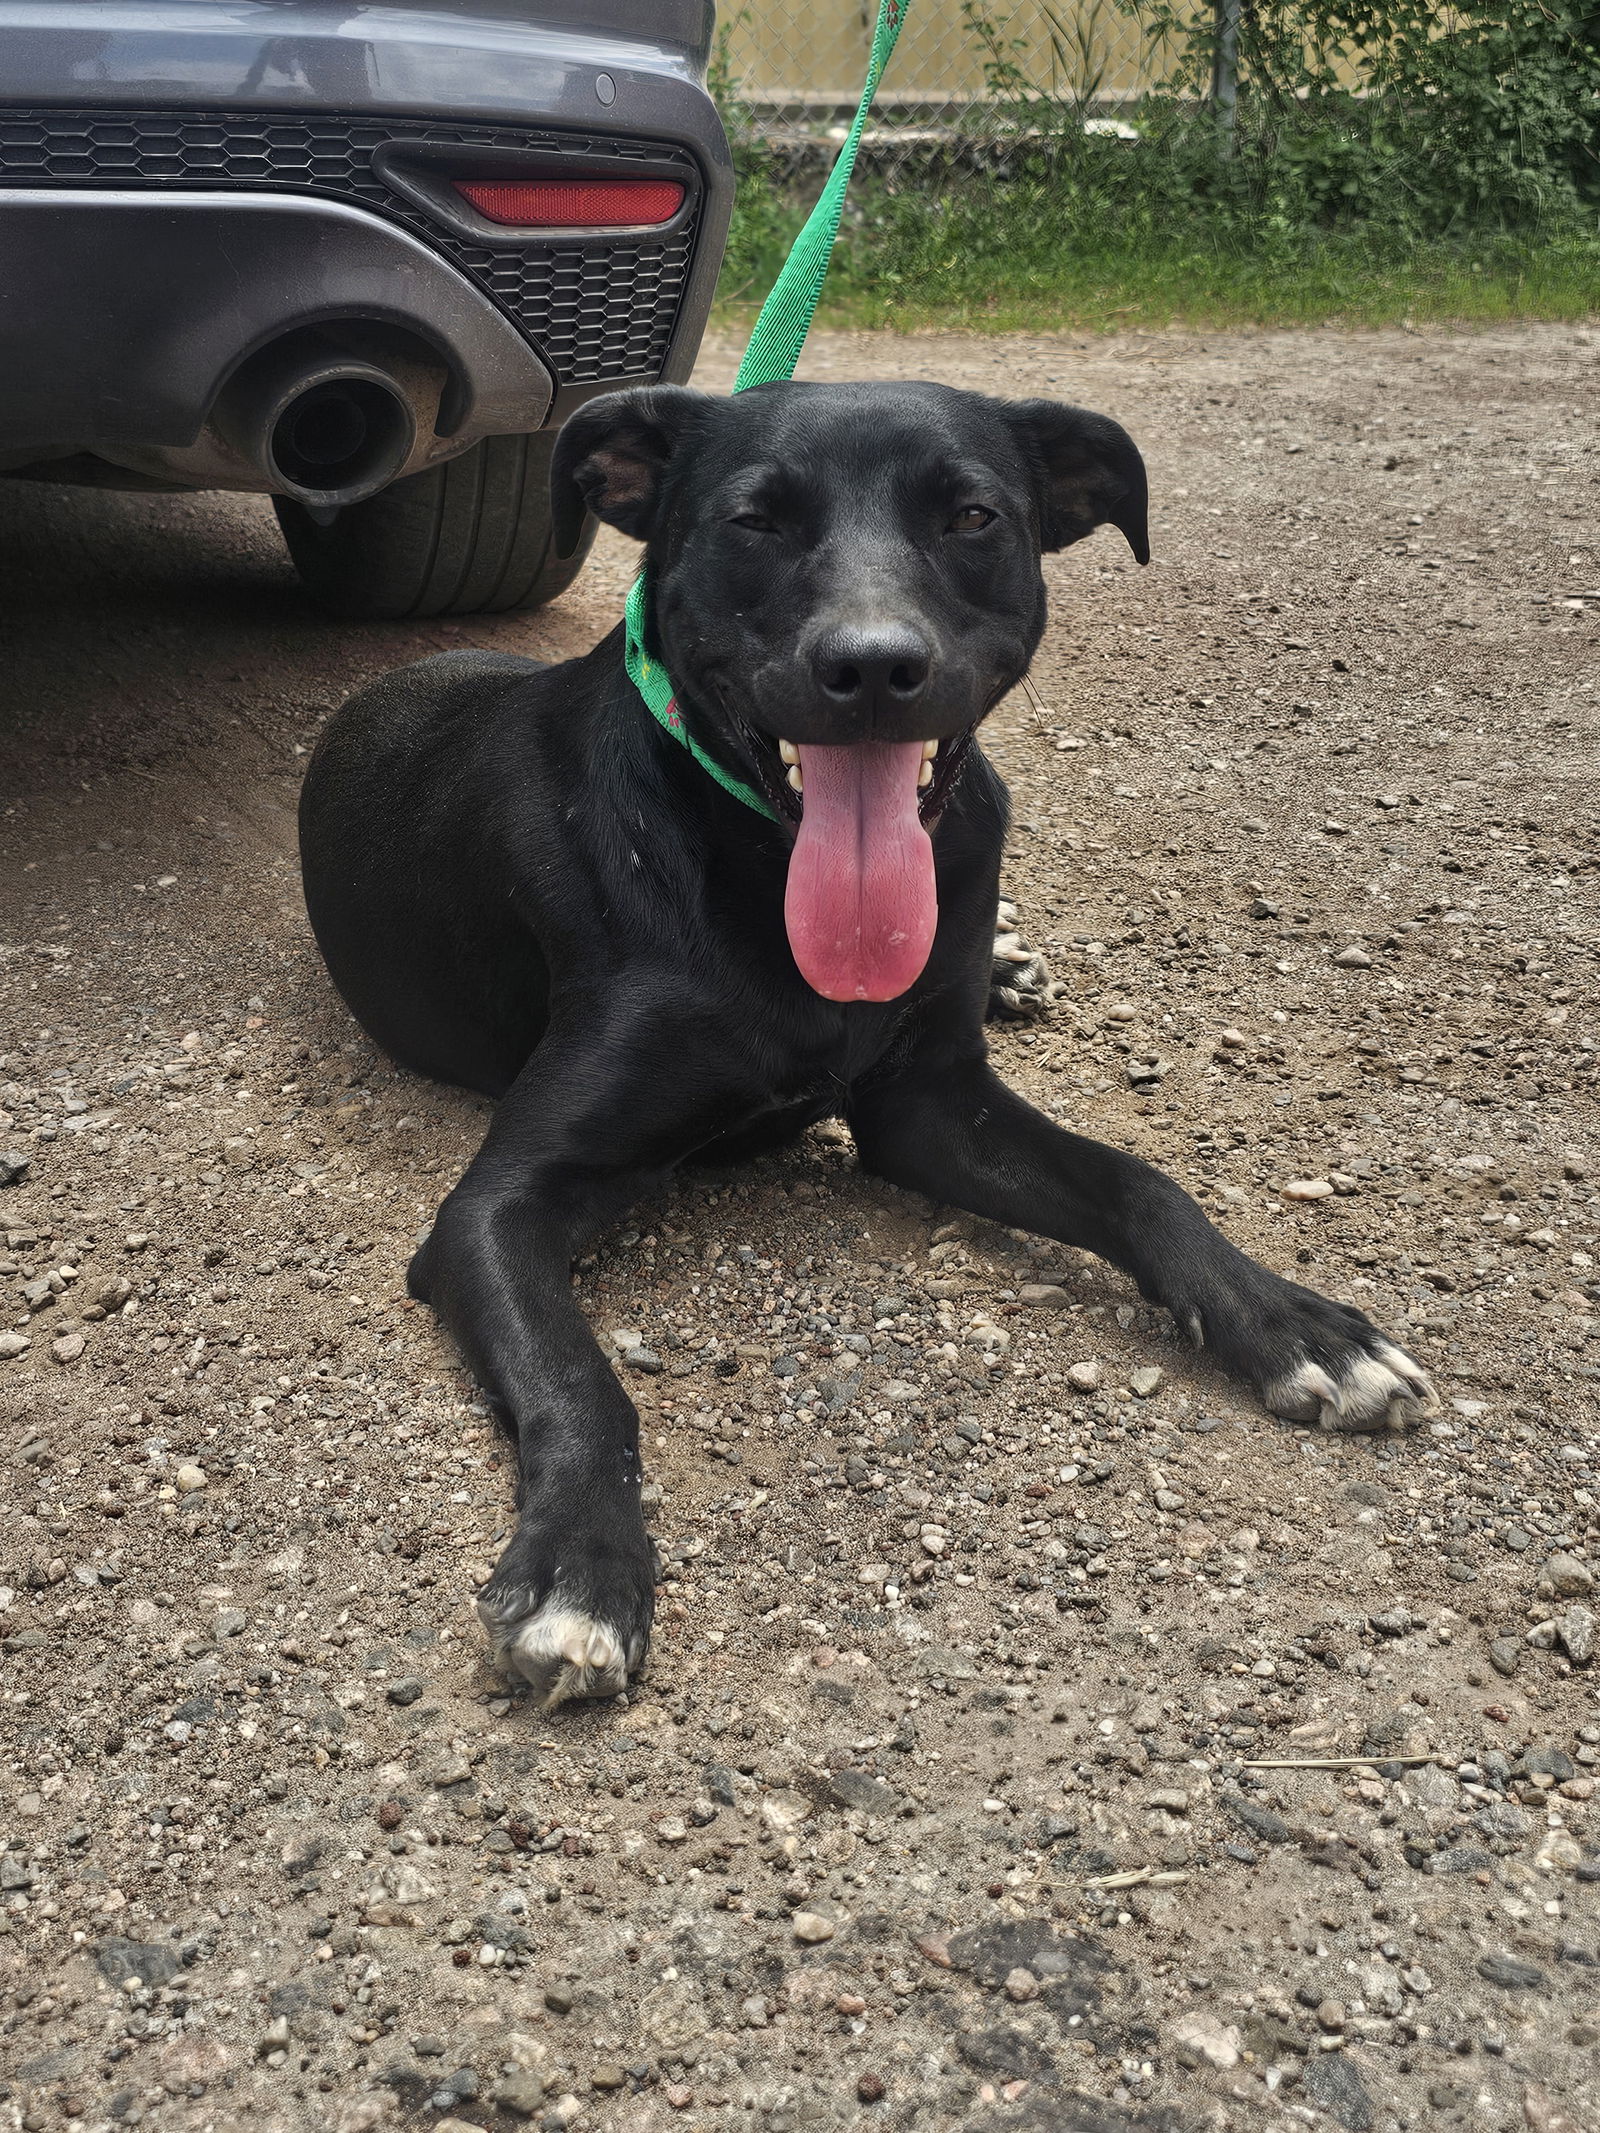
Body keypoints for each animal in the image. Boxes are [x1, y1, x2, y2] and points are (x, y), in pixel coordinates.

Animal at [300, 383, 1442, 1706]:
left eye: (972, 516)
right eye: (753, 520)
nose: (873, 667)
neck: (748, 858)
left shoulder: (931, 1110)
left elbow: (1137, 1182)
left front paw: (1293, 1323)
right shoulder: (498, 1208)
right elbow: (580, 1380)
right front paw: (579, 1568)